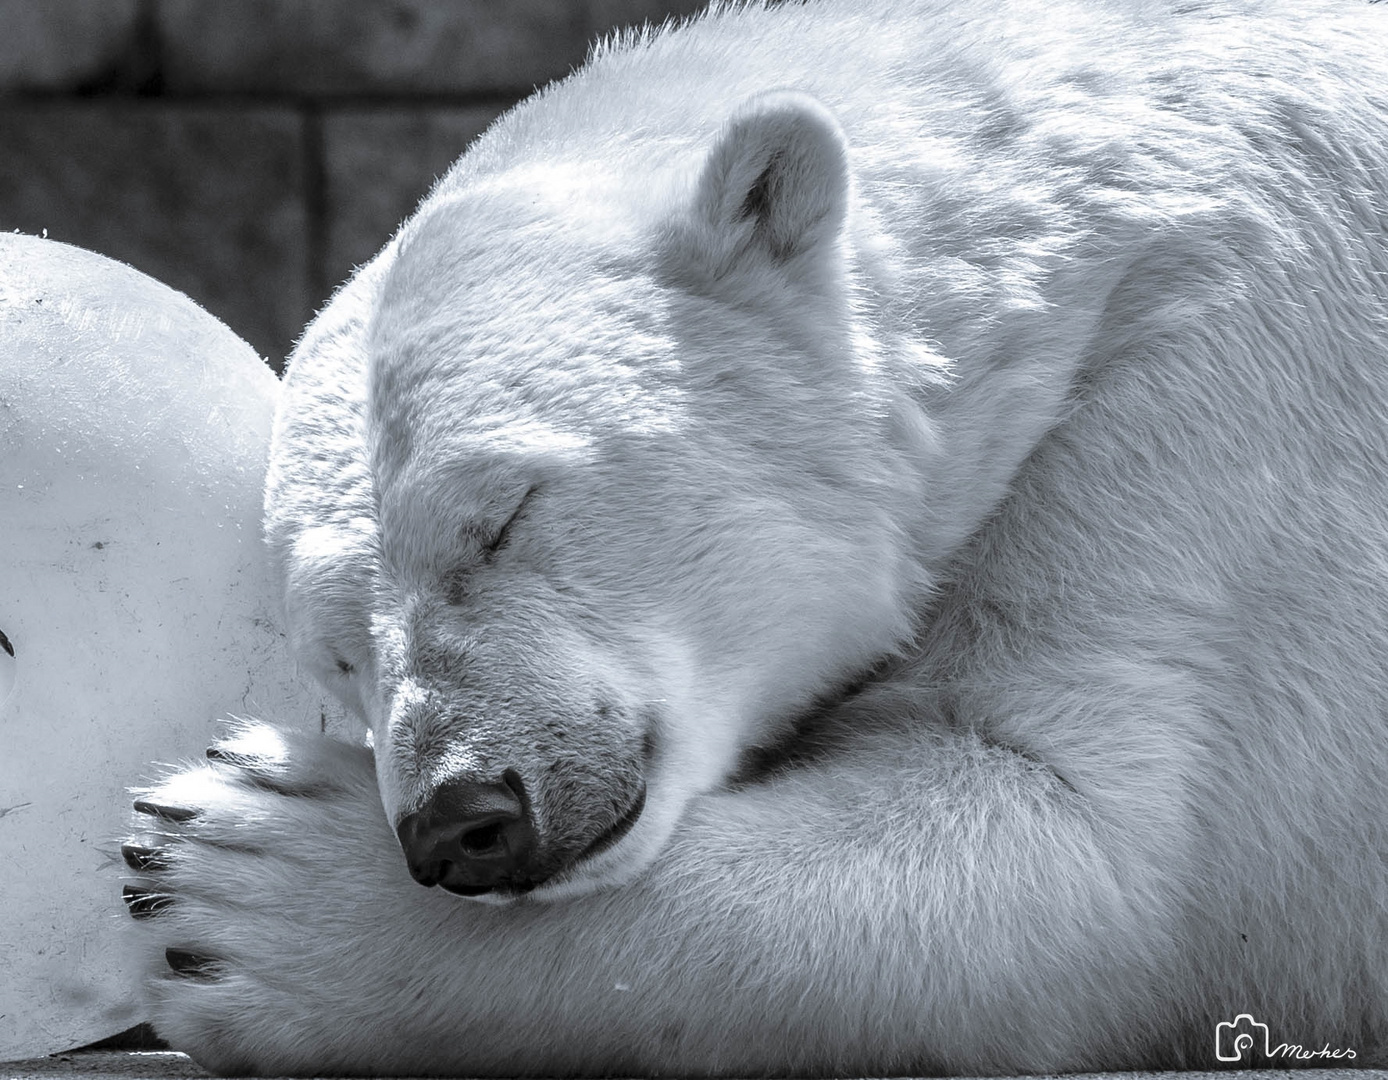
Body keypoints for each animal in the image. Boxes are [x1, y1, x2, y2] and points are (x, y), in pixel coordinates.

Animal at [122, 0, 1388, 1066]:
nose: (462, 819)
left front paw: (220, 883)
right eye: (336, 646)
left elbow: (1088, 851)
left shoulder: (1211, 425)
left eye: (502, 515)